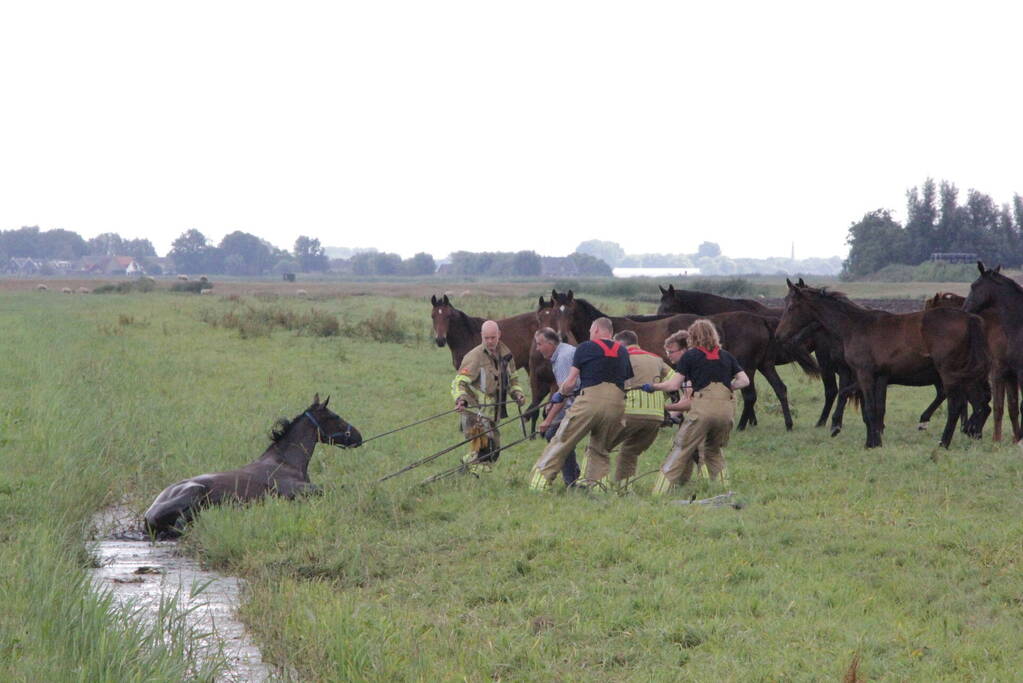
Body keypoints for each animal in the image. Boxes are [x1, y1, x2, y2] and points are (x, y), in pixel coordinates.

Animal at [143, 394, 362, 538]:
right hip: (194, 492)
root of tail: (148, 515)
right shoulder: (299, 491)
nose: (358, 437)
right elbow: (330, 490)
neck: (286, 462)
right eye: (335, 417)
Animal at [539, 289, 819, 431]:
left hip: (749, 367)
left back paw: (742, 426)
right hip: (764, 365)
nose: (561, 334)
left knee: (750, 395)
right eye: (553, 311)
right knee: (780, 389)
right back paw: (787, 423)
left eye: (570, 311)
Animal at [777, 280, 990, 448]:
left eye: (791, 307)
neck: (854, 326)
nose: (779, 335)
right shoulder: (879, 377)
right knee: (976, 404)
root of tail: (970, 318)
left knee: (957, 406)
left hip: (949, 374)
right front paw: (875, 441)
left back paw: (943, 442)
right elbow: (874, 408)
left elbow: (869, 409)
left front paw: (868, 443)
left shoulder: (864, 374)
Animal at [963, 262, 1023, 442]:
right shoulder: (1010, 374)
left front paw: (997, 440)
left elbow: (1000, 406)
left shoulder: (1004, 372)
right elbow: (1011, 406)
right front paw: (1015, 439)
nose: (964, 309)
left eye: (974, 286)